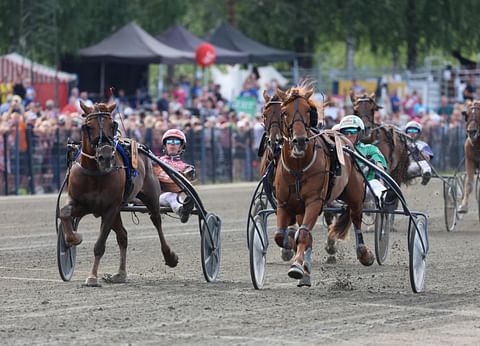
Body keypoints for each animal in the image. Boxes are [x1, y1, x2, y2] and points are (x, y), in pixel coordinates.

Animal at [58, 101, 178, 286]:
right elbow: (64, 212)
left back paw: (169, 256)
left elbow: (99, 246)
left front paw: (92, 277)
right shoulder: (81, 203)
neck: (95, 173)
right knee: (123, 235)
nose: (106, 156)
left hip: (150, 197)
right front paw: (74, 239)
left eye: (112, 124)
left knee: (156, 221)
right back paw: (120, 274)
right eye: (88, 126)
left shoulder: (110, 209)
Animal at [276, 86, 374, 284]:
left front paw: (297, 266)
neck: (297, 167)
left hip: (354, 194)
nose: (299, 141)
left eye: (309, 111)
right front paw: (290, 249)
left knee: (356, 217)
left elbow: (303, 234)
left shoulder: (314, 201)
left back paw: (364, 253)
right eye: (284, 113)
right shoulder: (283, 203)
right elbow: (281, 235)